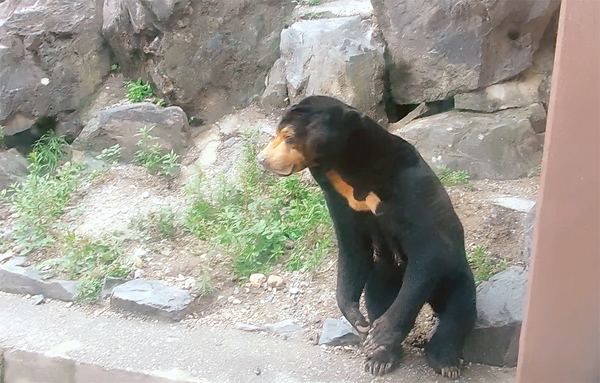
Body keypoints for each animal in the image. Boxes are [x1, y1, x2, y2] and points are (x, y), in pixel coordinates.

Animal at [255, 95, 476, 378]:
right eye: (278, 134)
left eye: (289, 136)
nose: (262, 159)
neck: (346, 168)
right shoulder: (341, 199)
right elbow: (353, 249)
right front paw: (358, 322)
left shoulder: (408, 187)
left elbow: (430, 249)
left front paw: (379, 335)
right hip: (384, 275)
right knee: (379, 297)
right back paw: (381, 358)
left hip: (453, 274)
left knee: (459, 308)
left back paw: (444, 361)